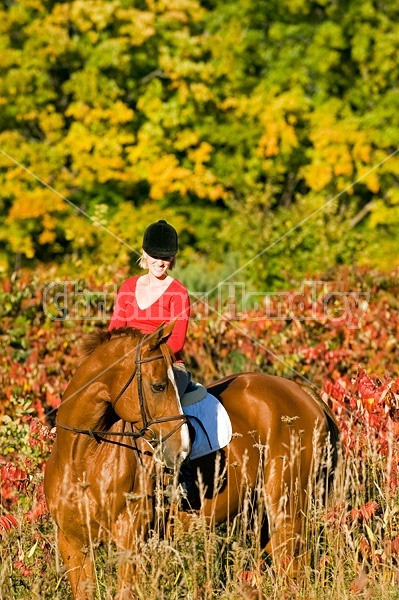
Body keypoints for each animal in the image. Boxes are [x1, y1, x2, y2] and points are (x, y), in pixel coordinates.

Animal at [46, 326, 340, 596]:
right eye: (158, 386)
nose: (181, 449)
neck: (83, 457)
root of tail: (301, 391)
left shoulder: (130, 540)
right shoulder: (73, 544)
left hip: (287, 509)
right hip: (260, 515)